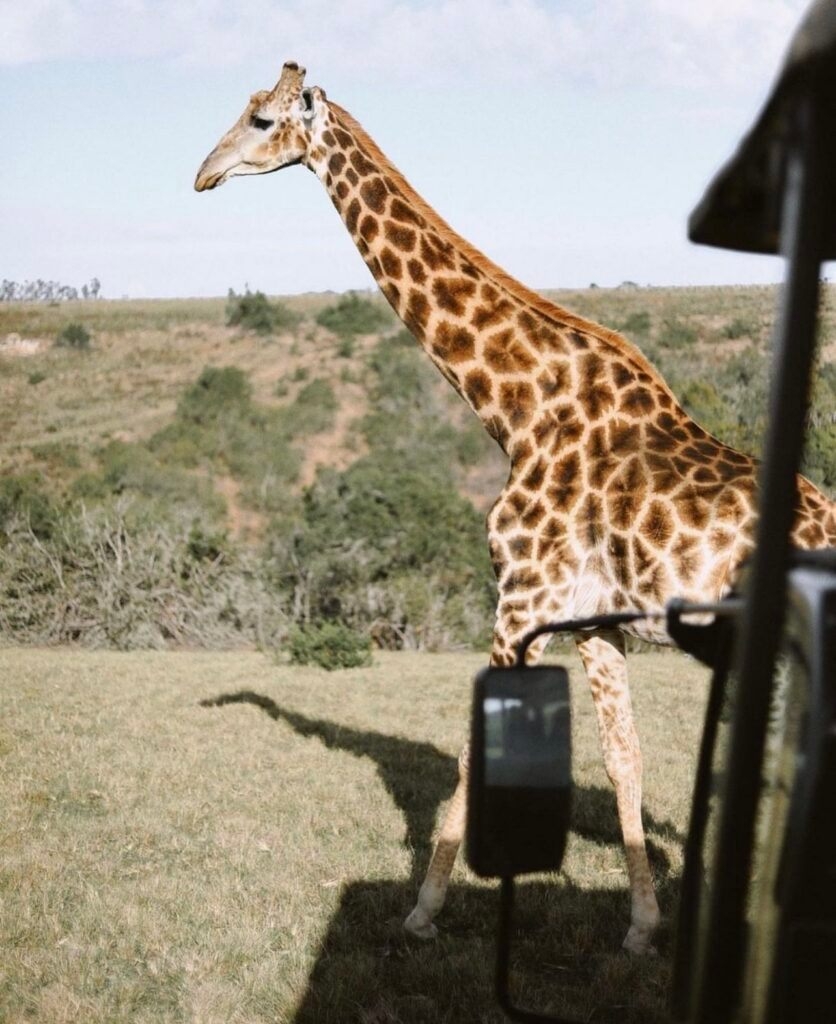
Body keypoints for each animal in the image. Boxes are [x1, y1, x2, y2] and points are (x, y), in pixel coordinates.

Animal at [195, 64, 836, 954]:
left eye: (260, 119)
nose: (203, 173)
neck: (514, 407)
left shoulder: (520, 601)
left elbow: (475, 750)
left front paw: (422, 911)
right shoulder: (594, 623)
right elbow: (624, 757)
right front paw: (641, 926)